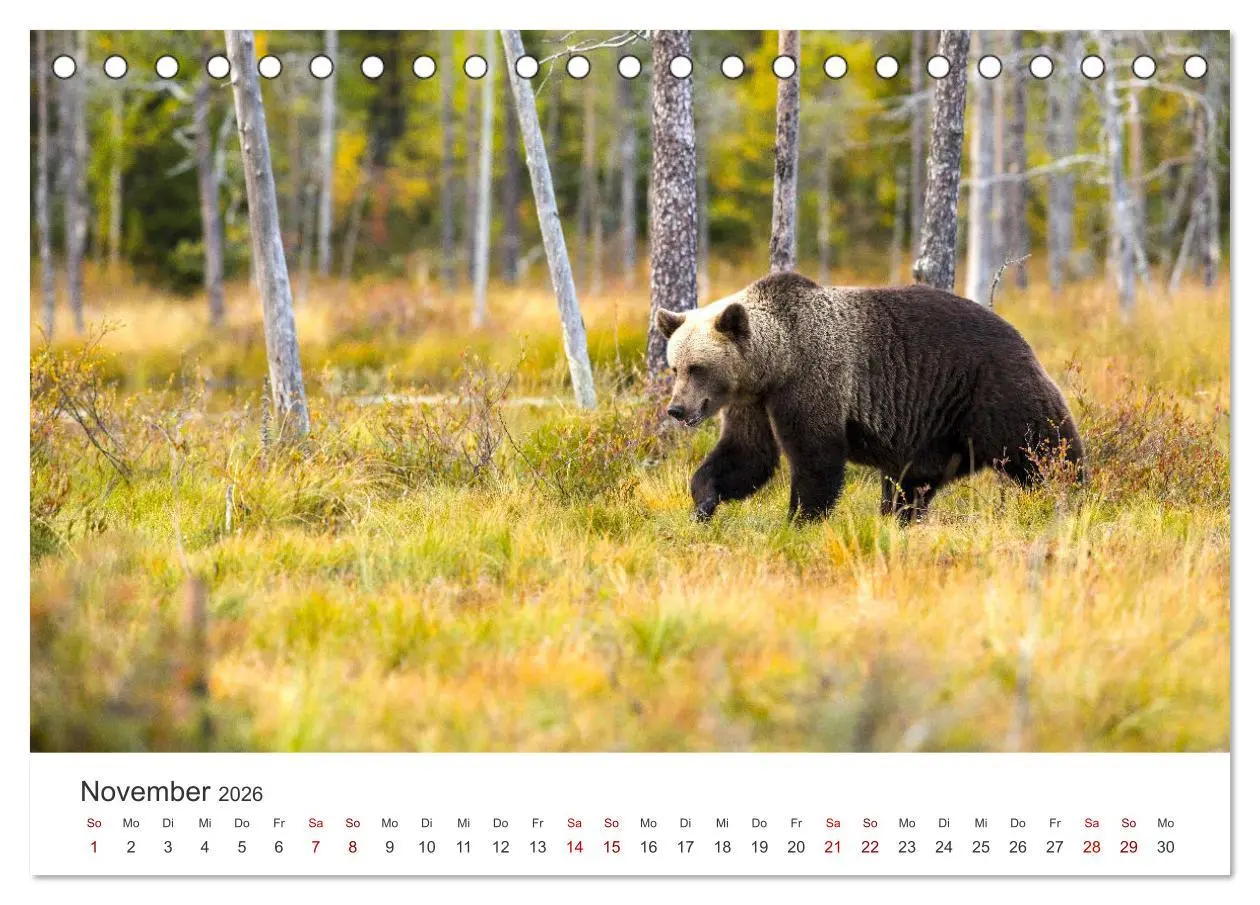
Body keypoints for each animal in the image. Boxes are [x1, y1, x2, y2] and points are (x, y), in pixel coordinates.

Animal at [655, 271, 1085, 524]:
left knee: (1045, 447)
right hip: (934, 429)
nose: (677, 409)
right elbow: (747, 455)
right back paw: (898, 518)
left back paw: (1073, 494)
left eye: (697, 367)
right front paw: (703, 502)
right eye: (675, 367)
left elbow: (816, 458)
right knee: (910, 484)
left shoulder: (813, 380)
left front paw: (800, 519)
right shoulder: (753, 402)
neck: (776, 362)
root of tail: (1020, 335)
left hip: (992, 389)